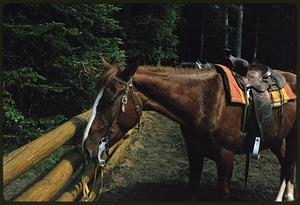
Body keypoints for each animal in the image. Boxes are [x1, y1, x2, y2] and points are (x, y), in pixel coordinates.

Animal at [81, 58, 296, 201]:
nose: (86, 146)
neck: (206, 101)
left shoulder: (226, 156)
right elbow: (192, 189)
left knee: (289, 164)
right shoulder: (194, 151)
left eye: (110, 99)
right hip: (276, 138)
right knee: (286, 164)